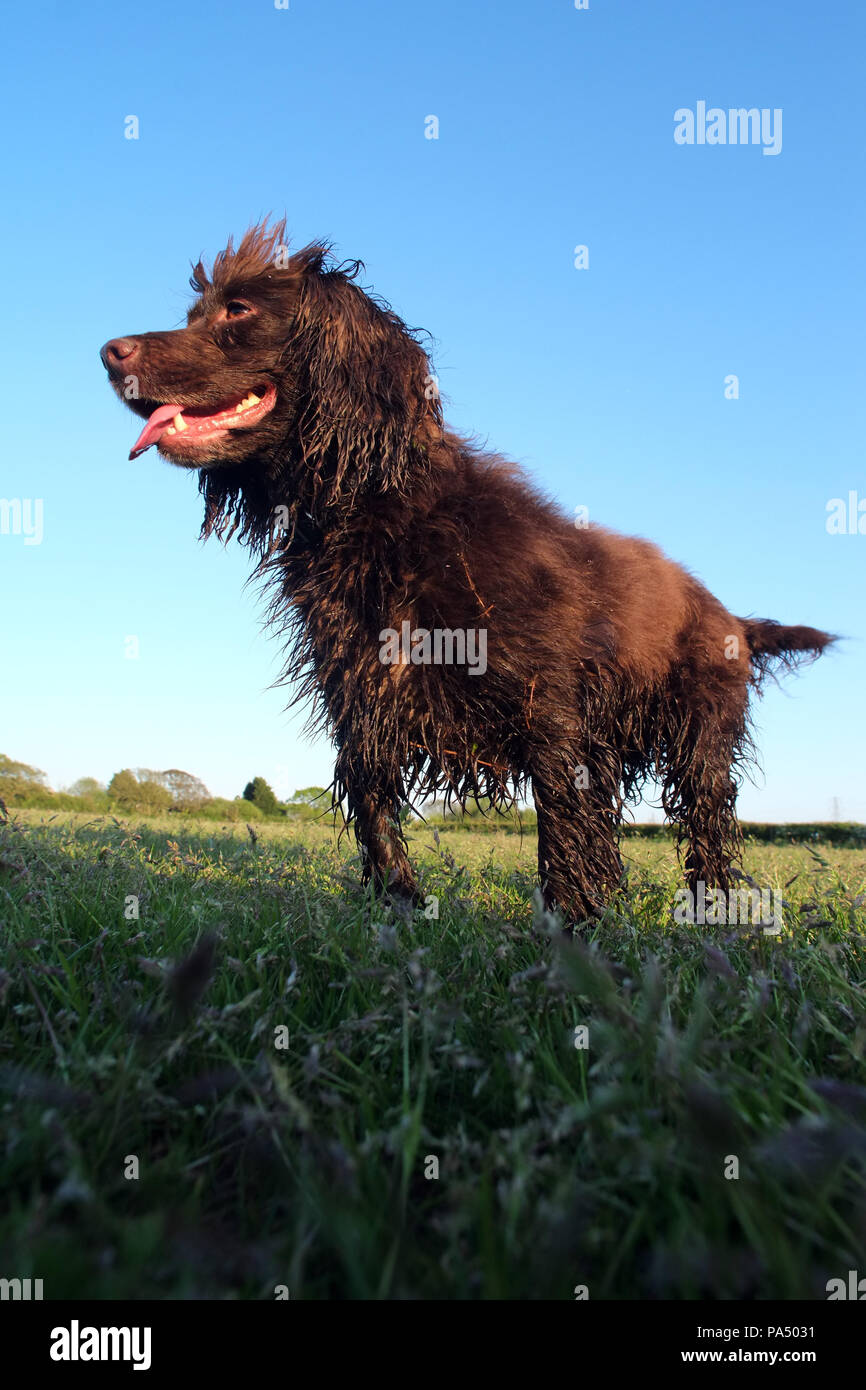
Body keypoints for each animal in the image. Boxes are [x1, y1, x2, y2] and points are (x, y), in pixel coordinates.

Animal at [100, 219, 834, 922]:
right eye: (195, 312)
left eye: (240, 309)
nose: (109, 352)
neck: (386, 511)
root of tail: (731, 614)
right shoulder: (364, 698)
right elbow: (377, 813)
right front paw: (399, 911)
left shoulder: (553, 709)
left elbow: (562, 828)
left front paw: (573, 928)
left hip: (699, 743)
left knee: (709, 830)